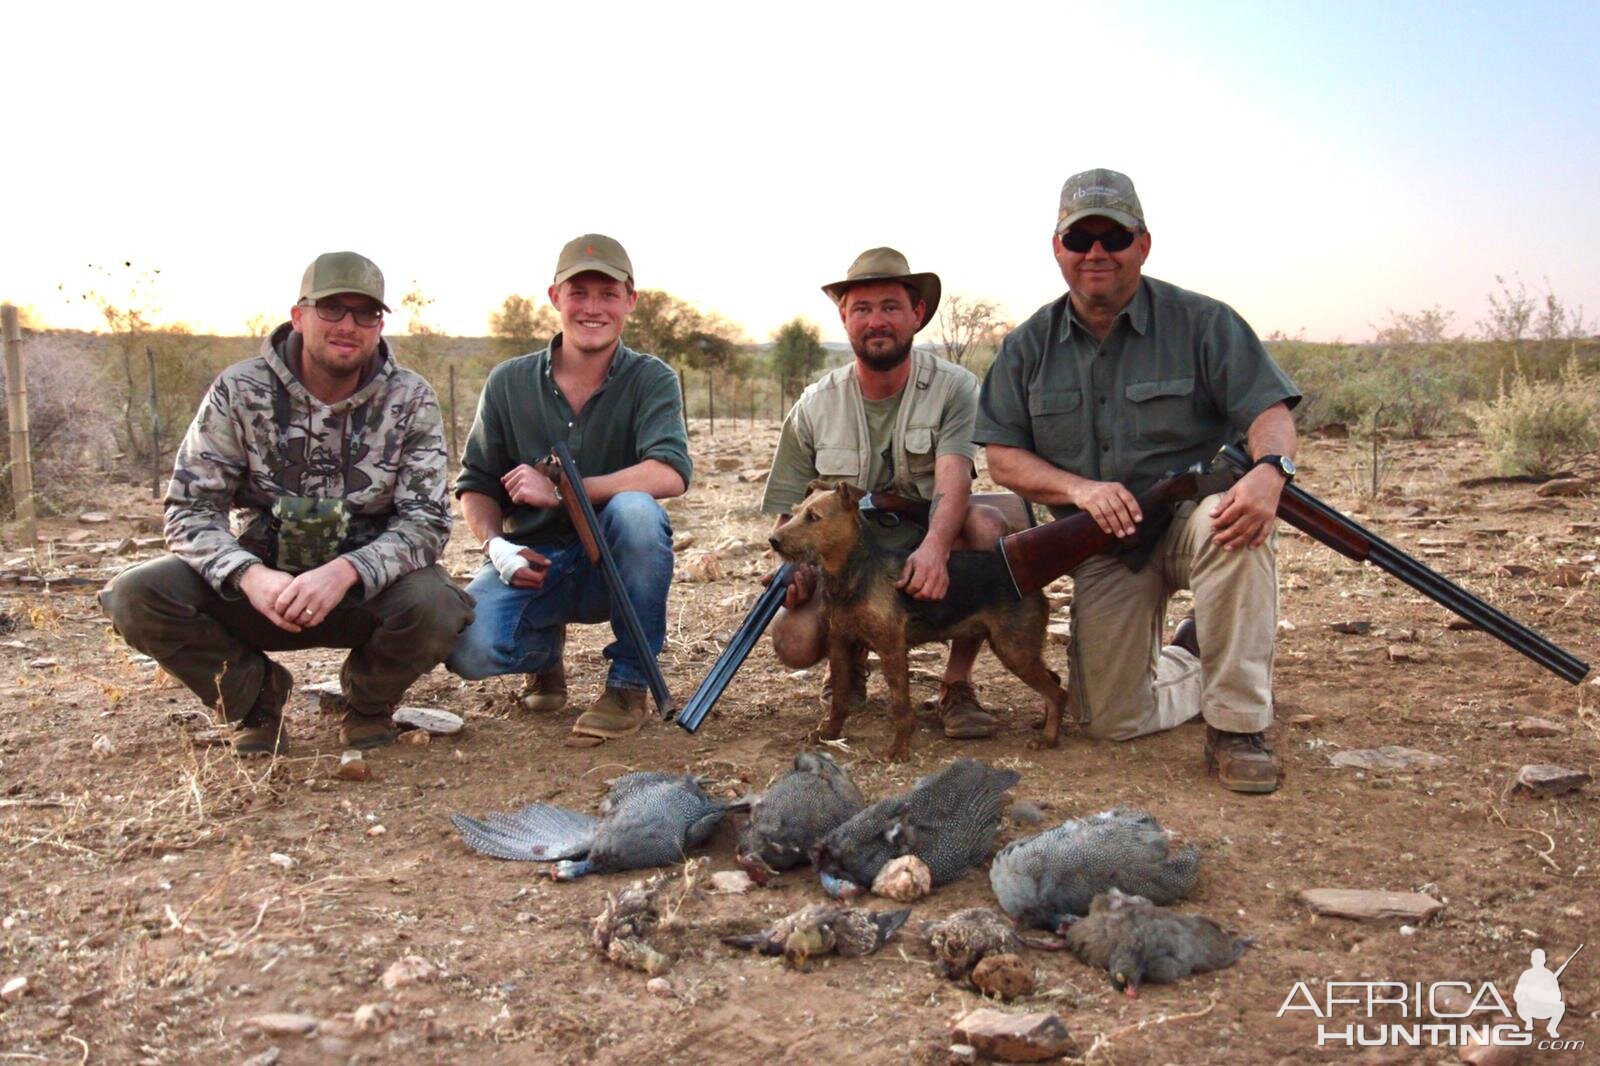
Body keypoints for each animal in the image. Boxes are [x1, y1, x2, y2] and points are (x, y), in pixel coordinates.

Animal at [768, 476, 1068, 758]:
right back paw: (1044, 724)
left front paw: (899, 748)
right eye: (794, 512)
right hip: (1018, 649)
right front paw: (829, 732)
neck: (853, 575)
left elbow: (901, 705)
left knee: (1057, 692)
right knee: (1054, 681)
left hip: (1014, 649)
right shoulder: (840, 643)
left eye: (813, 517)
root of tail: (1026, 580)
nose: (773, 541)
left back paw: (1048, 738)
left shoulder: (891, 648)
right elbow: (839, 700)